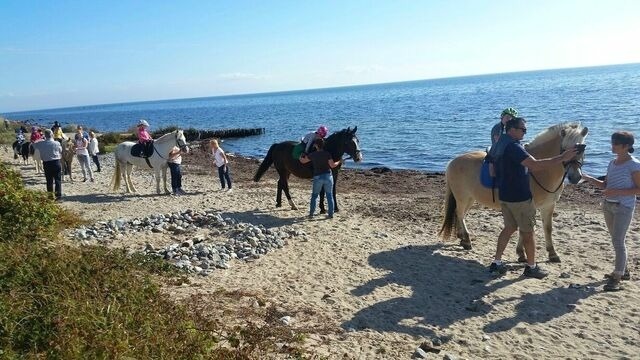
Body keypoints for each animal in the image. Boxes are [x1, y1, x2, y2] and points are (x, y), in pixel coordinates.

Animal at [440, 122, 592, 262]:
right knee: (460, 214)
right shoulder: (527, 206)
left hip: (470, 198)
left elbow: (547, 228)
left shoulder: (548, 206)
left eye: (582, 149)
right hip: (462, 197)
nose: (575, 177)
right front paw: (521, 253)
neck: (539, 170)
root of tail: (452, 161)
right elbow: (525, 230)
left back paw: (461, 237)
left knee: (460, 214)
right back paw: (467, 240)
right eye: (564, 149)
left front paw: (552, 254)